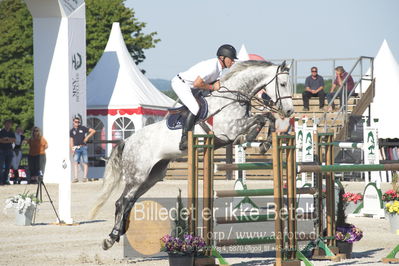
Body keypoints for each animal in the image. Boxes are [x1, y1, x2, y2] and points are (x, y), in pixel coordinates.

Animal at [91, 59, 296, 249]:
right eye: (282, 84)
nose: (289, 111)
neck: (232, 98)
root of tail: (128, 141)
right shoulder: (229, 129)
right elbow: (261, 118)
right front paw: (254, 140)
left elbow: (267, 118)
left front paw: (263, 143)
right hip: (137, 175)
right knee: (122, 201)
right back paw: (111, 237)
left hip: (152, 176)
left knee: (130, 200)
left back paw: (119, 232)